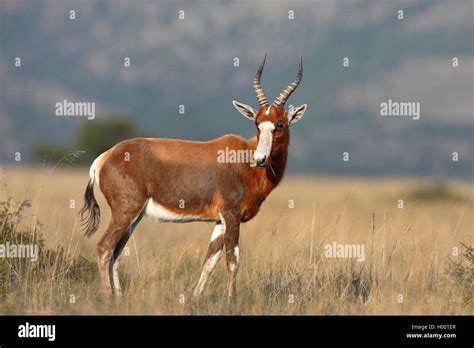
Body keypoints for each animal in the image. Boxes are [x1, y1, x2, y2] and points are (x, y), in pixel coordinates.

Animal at [78, 54, 308, 300]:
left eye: (280, 124)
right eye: (257, 123)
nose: (260, 159)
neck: (243, 158)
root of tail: (104, 158)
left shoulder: (220, 220)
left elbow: (209, 261)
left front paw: (195, 299)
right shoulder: (232, 215)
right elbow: (232, 260)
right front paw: (231, 300)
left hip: (134, 217)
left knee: (117, 253)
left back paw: (119, 299)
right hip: (125, 212)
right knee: (104, 249)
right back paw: (108, 298)